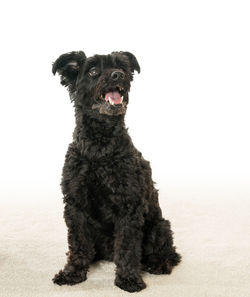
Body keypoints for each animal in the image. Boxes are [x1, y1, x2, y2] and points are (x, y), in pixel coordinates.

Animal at [51, 51, 181, 292]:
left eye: (122, 67)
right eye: (93, 71)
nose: (117, 75)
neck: (99, 148)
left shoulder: (128, 206)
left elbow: (128, 248)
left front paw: (128, 279)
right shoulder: (75, 204)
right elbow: (78, 244)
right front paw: (73, 272)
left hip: (159, 226)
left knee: (169, 252)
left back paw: (159, 263)